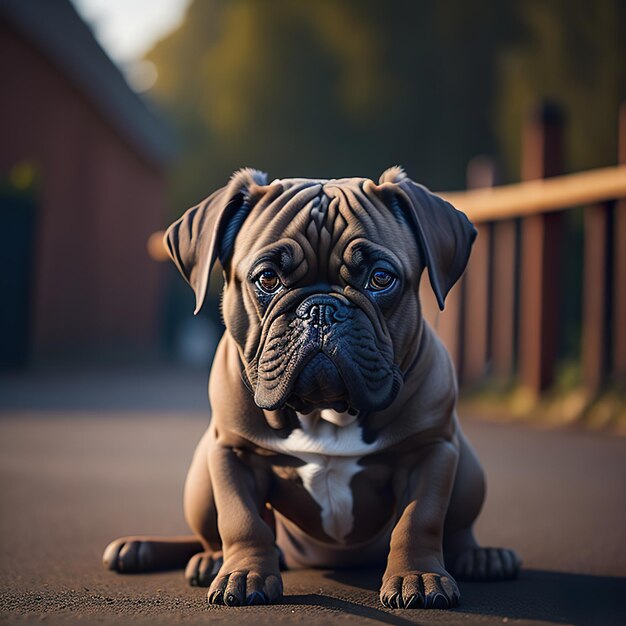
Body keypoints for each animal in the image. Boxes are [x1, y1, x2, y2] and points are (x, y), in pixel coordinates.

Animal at [105, 168, 520, 608]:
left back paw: (482, 557)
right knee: (218, 533)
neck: (327, 411)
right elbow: (242, 520)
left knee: (457, 531)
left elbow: (419, 520)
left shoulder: (430, 450)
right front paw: (245, 574)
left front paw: (419, 577)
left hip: (468, 470)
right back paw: (191, 556)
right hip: (200, 480)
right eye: (267, 278)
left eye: (380, 278)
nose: (321, 308)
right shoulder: (231, 453)